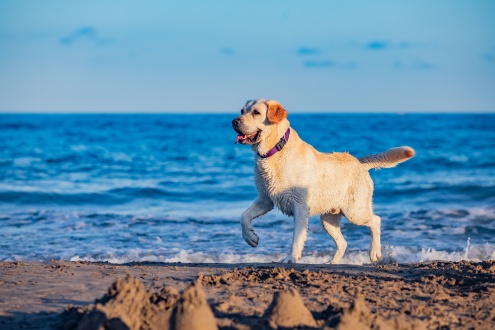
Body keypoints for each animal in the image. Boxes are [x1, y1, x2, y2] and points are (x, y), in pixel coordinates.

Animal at [232, 99, 414, 264]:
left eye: (256, 112)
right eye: (242, 111)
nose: (234, 121)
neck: (276, 150)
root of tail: (360, 162)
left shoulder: (300, 206)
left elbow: (297, 238)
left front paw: (291, 258)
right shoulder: (266, 199)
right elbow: (243, 216)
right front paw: (250, 237)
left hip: (355, 211)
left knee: (376, 220)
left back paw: (374, 252)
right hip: (328, 219)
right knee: (343, 242)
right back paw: (331, 263)